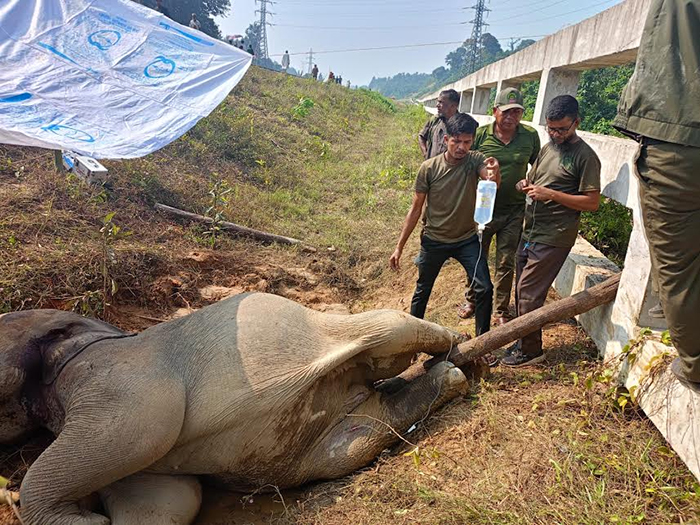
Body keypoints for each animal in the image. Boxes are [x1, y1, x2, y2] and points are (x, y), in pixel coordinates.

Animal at [1, 290, 470, 524]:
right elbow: (168, 501)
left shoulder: (118, 376)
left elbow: (143, 432)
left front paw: (86, 520)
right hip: (314, 444)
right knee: (354, 442)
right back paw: (448, 377)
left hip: (334, 327)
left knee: (389, 327)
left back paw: (456, 343)